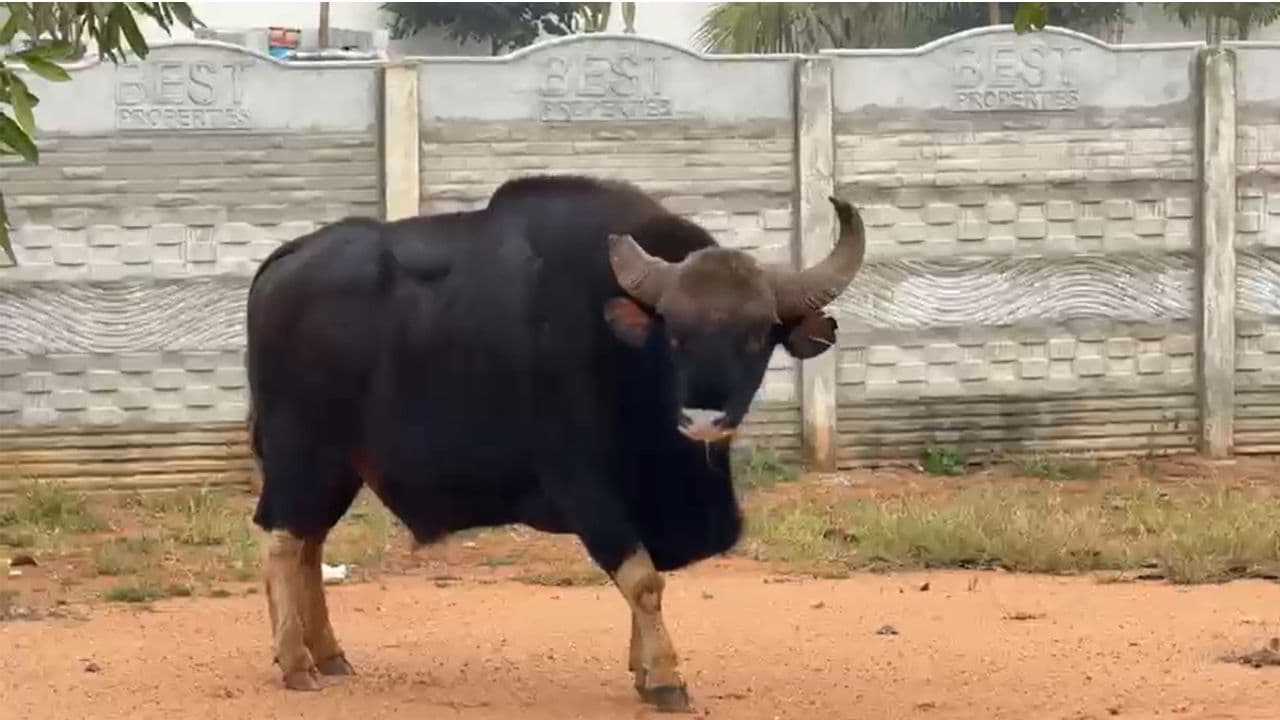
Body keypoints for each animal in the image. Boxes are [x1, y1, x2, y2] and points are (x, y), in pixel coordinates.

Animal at [245, 174, 866, 711]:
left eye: (757, 334)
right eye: (675, 332)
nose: (705, 418)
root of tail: (286, 260)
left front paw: (642, 670)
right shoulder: (588, 489)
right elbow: (644, 581)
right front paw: (665, 677)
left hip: (339, 467)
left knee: (309, 544)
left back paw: (328, 654)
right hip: (303, 453)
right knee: (282, 543)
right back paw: (294, 661)